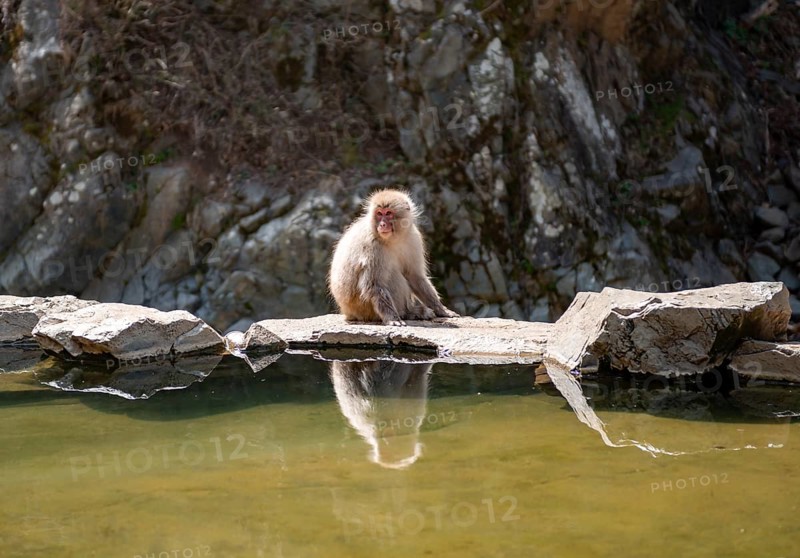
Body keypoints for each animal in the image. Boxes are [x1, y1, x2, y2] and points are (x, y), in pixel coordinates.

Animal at [329, 189, 459, 326]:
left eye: (388, 213)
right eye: (379, 213)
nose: (382, 224)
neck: (393, 239)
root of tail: (348, 313)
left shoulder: (413, 238)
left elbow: (414, 276)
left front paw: (441, 309)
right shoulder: (372, 246)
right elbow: (374, 285)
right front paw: (392, 318)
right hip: (364, 309)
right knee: (392, 275)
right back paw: (409, 312)